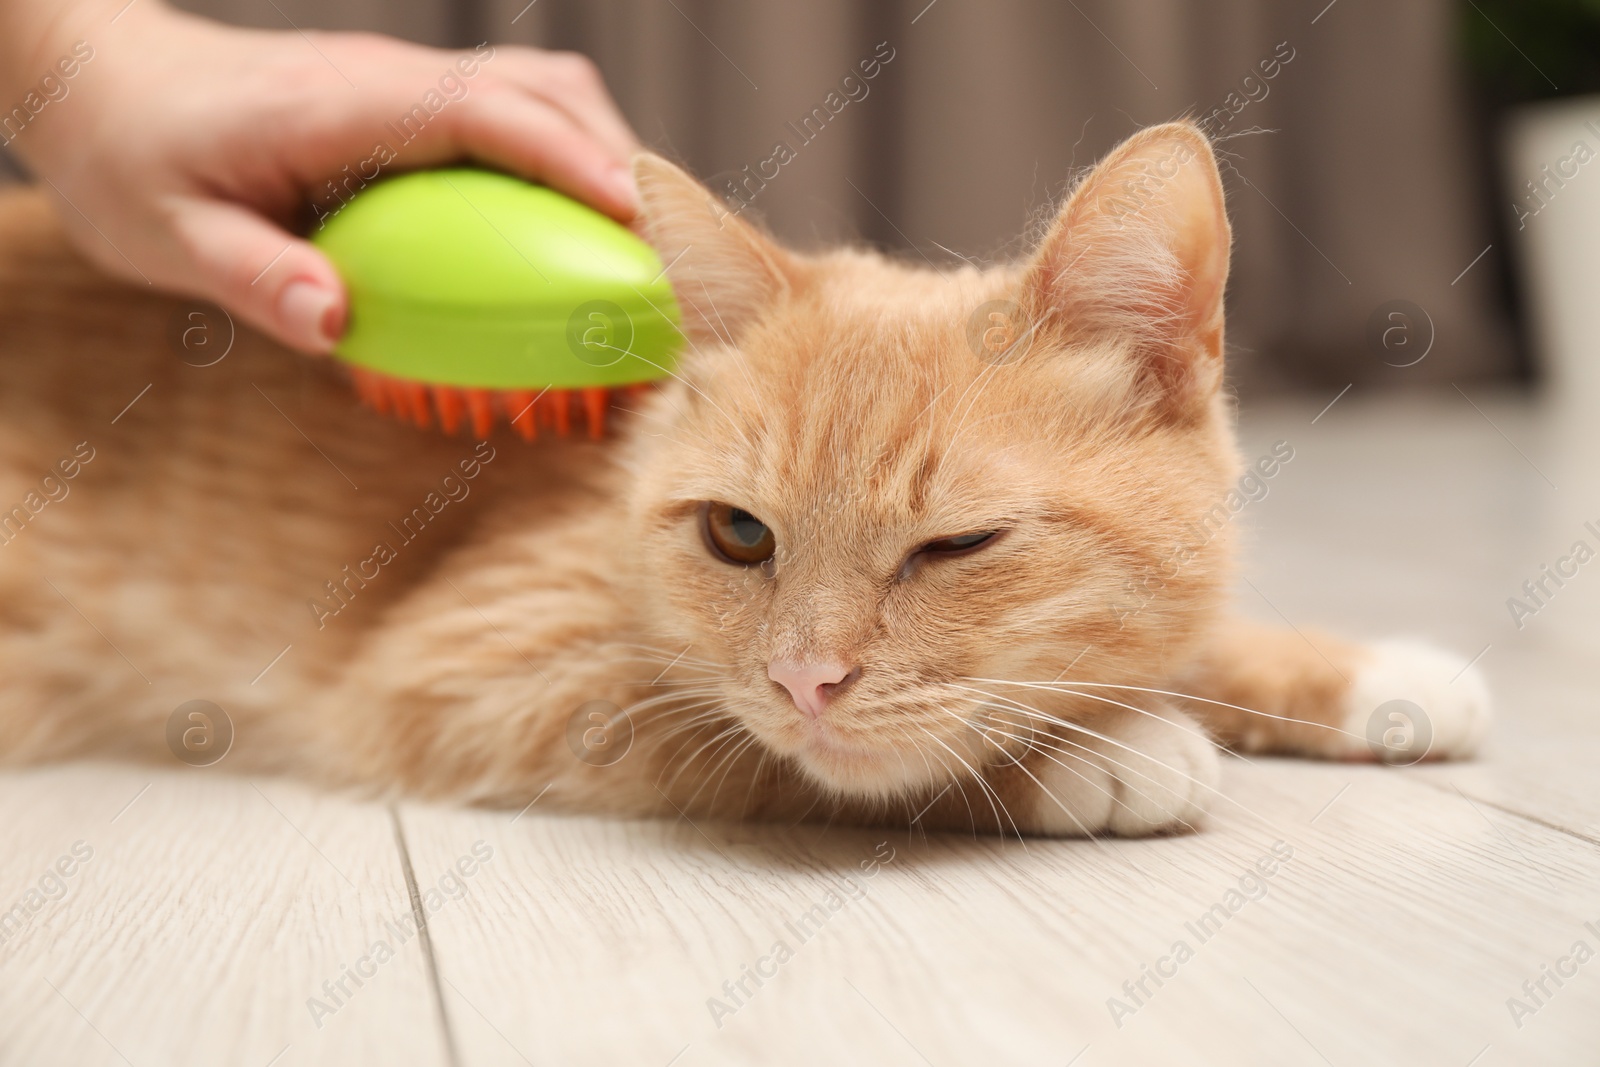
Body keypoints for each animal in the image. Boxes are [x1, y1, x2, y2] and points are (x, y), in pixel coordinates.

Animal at [0, 125, 1484, 838]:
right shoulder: (471, 664)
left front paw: (1368, 672)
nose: (806, 679)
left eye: (958, 546)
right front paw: (1099, 752)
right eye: (735, 534)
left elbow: (1193, 637)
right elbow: (795, 754)